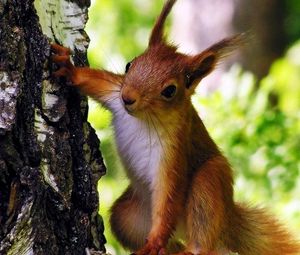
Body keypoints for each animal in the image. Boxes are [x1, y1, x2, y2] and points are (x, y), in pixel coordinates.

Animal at [50, 0, 298, 255]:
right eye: (130, 65)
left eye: (169, 91)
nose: (128, 98)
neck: (144, 118)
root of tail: (228, 221)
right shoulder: (114, 93)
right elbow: (94, 81)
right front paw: (69, 69)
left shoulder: (174, 151)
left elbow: (168, 197)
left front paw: (155, 241)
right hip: (128, 216)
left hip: (209, 183)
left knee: (202, 238)